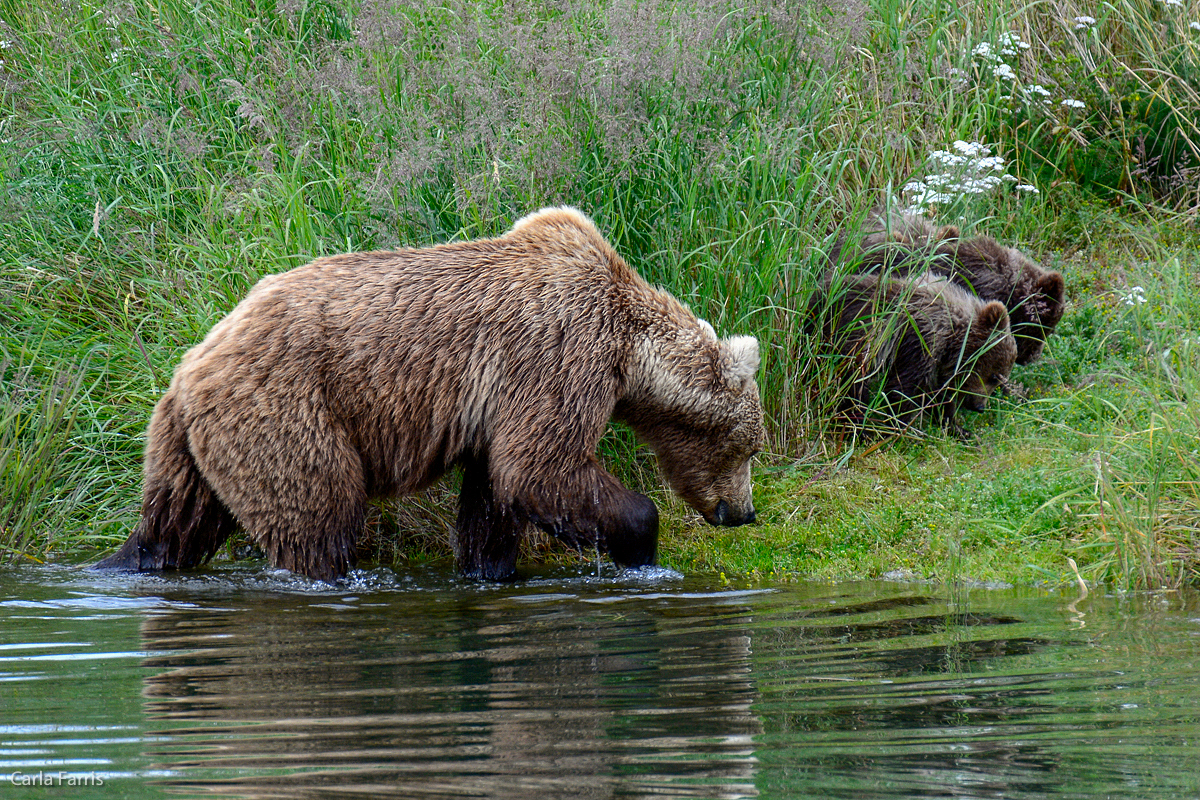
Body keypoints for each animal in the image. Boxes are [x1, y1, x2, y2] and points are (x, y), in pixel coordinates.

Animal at [98, 206, 763, 582]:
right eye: (750, 447)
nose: (743, 513)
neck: (629, 348)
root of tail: (189, 370)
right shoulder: (558, 353)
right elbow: (542, 467)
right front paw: (644, 546)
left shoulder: (498, 404)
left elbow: (495, 495)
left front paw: (489, 569)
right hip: (284, 414)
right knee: (317, 516)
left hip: (193, 444)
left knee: (175, 523)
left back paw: (129, 562)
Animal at [820, 271, 1017, 431]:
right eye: (994, 376)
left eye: (999, 380)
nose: (980, 407)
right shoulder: (919, 341)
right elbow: (904, 388)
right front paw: (901, 427)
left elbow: (940, 393)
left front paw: (957, 427)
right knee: (851, 385)